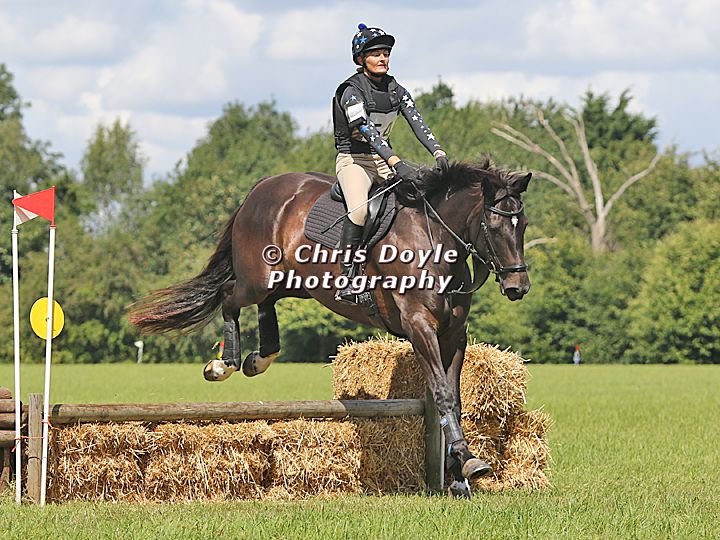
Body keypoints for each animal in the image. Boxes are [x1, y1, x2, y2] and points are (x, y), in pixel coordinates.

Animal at [128, 159, 531, 496]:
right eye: (495, 226)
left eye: (523, 226)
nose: (518, 287)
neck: (434, 241)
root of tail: (262, 186)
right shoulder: (420, 326)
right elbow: (443, 394)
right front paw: (469, 463)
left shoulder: (453, 334)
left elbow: (455, 399)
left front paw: (459, 475)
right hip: (258, 278)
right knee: (229, 296)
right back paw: (223, 364)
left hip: (293, 281)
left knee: (266, 304)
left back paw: (260, 359)